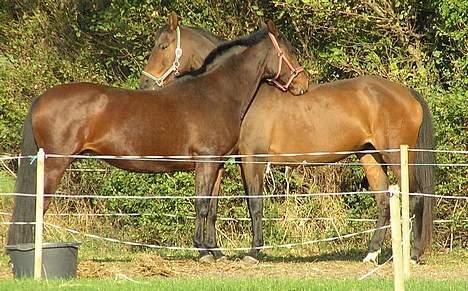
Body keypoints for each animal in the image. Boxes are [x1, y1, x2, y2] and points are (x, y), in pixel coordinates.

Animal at [7, 20, 308, 266]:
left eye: (163, 46)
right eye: (289, 51)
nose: (303, 82)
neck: (216, 93)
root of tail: (41, 99)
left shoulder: (218, 164)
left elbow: (212, 208)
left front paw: (216, 252)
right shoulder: (206, 161)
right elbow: (201, 204)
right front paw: (202, 251)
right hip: (54, 165)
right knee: (38, 205)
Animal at [139, 15, 436, 264]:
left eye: (163, 46)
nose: (144, 85)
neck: (245, 92)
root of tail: (406, 93)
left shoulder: (252, 158)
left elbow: (254, 204)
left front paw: (252, 253)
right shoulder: (225, 159)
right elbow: (213, 205)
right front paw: (215, 252)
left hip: (397, 156)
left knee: (416, 197)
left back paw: (412, 255)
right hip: (369, 156)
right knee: (384, 203)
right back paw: (371, 255)